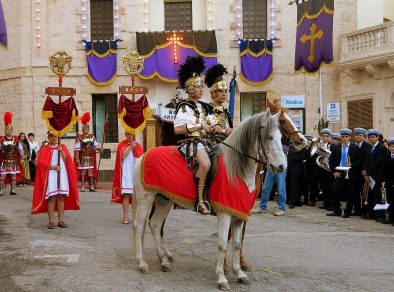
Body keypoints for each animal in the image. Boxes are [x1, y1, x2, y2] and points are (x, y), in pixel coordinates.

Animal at [132, 109, 286, 290]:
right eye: (269, 137)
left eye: (281, 137)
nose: (282, 167)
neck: (236, 170)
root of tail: (142, 156)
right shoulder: (224, 214)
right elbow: (222, 244)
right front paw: (221, 278)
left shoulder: (238, 216)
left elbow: (237, 244)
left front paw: (239, 273)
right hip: (145, 199)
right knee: (139, 226)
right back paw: (142, 263)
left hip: (164, 200)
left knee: (155, 225)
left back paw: (164, 261)